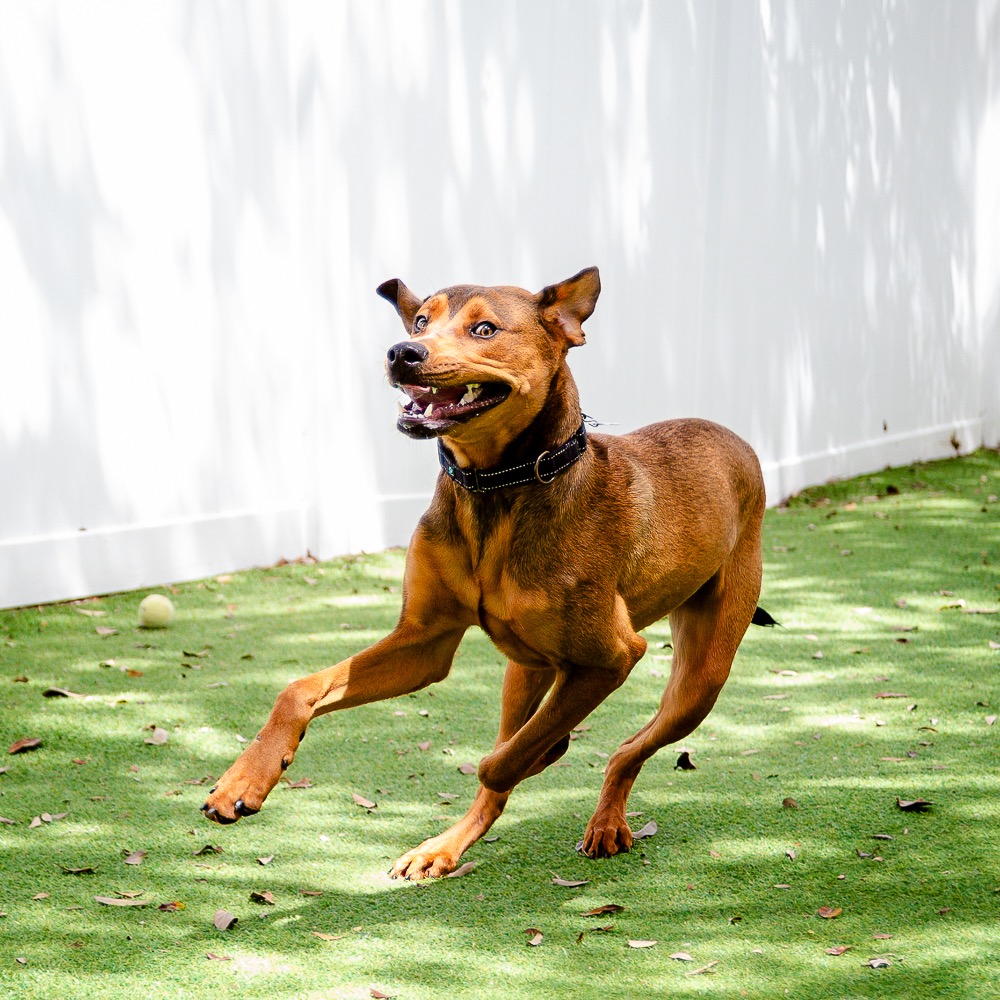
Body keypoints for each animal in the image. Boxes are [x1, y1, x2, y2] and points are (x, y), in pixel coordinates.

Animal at [201, 267, 770, 878]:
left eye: (484, 329)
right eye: (420, 321)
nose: (402, 352)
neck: (496, 487)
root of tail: (735, 439)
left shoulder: (613, 655)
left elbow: (499, 762)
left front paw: (545, 751)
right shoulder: (423, 643)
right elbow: (298, 689)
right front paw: (242, 781)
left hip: (700, 678)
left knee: (624, 749)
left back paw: (603, 819)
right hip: (524, 671)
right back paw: (442, 847)